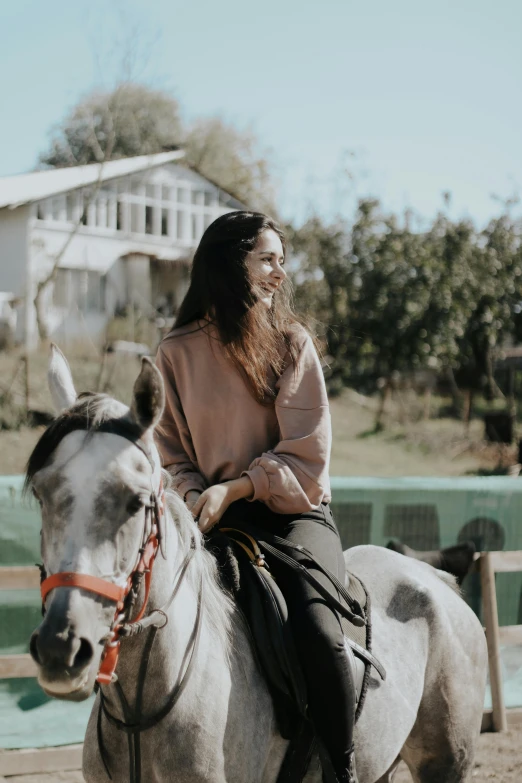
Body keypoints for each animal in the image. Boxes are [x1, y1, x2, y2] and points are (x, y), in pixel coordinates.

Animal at [26, 350, 486, 783]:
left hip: (447, 762)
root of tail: (432, 577)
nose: (60, 647)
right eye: (41, 493)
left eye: (136, 501)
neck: (145, 709)